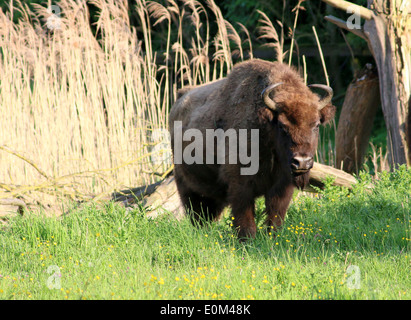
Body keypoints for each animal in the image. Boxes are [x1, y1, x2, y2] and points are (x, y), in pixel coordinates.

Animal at [169, 59, 336, 240]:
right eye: (282, 125)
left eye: (316, 125)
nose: (302, 162)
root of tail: (178, 101)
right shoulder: (240, 183)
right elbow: (245, 215)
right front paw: (247, 239)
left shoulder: (283, 185)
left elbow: (276, 213)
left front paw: (273, 237)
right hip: (186, 185)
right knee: (195, 212)